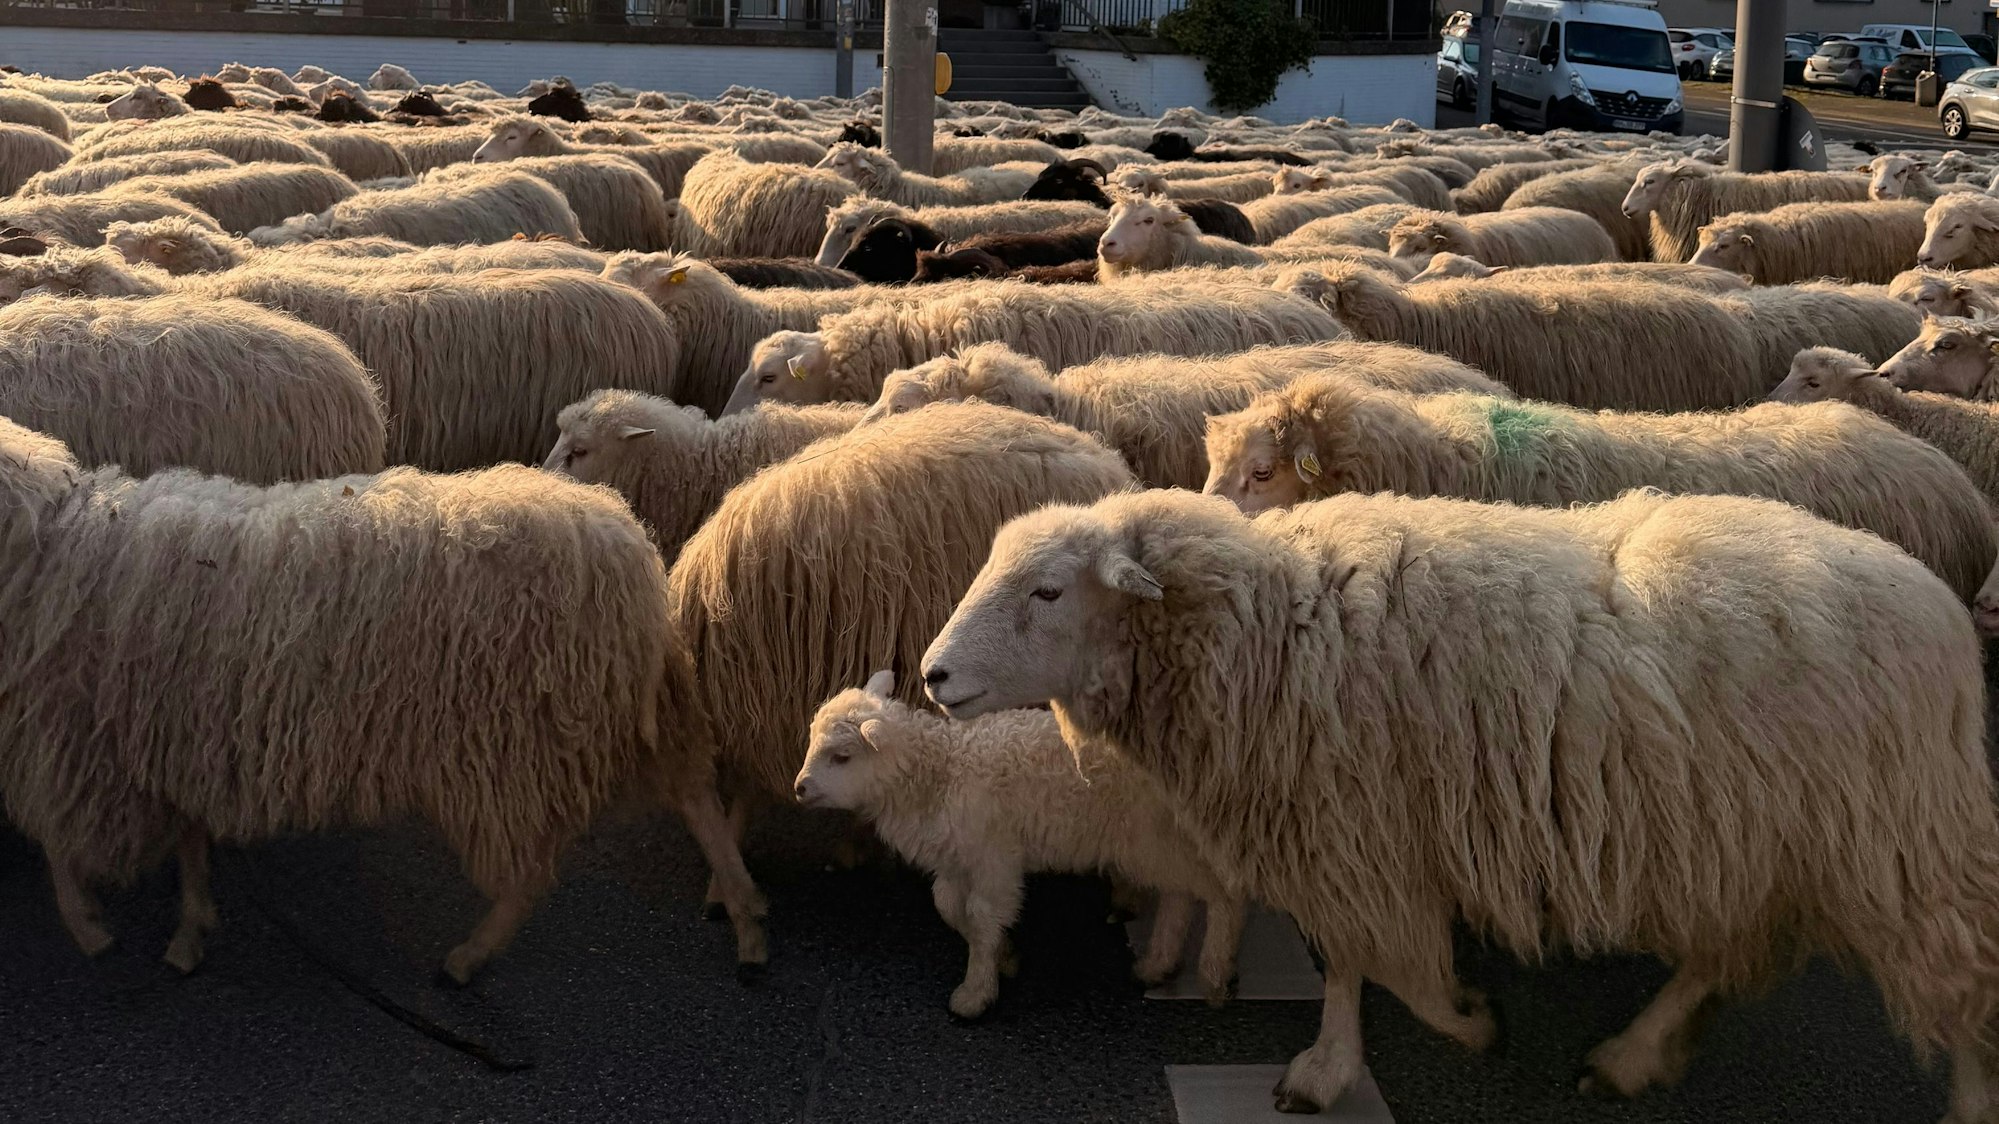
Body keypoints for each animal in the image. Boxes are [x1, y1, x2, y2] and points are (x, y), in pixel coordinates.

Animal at [0, 417, 767, 985]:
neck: (50, 552)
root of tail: (621, 540)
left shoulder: (79, 744)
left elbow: (59, 848)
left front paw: (91, 929)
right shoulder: (174, 740)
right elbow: (185, 839)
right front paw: (190, 928)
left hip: (513, 740)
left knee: (528, 875)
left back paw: (469, 957)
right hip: (628, 708)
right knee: (693, 793)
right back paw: (746, 917)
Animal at [797, 673, 1246, 1017]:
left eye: (842, 757)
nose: (799, 788)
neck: (941, 772)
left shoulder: (994, 857)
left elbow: (980, 915)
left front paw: (975, 993)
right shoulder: (958, 859)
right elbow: (949, 907)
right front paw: (1004, 957)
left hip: (1150, 837)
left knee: (1217, 890)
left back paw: (1214, 975)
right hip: (1155, 842)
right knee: (1180, 894)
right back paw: (1158, 964)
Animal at [917, 485, 1999, 1121]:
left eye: (1048, 590)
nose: (932, 676)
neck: (1270, 624)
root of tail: (1939, 606)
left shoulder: (1354, 829)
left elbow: (1383, 967)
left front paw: (1447, 1026)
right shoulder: (1349, 832)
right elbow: (1355, 966)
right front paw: (1372, 1050)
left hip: (1893, 847)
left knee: (1963, 977)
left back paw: (1971, 1099)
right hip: (1747, 840)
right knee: (1715, 955)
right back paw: (1633, 1053)